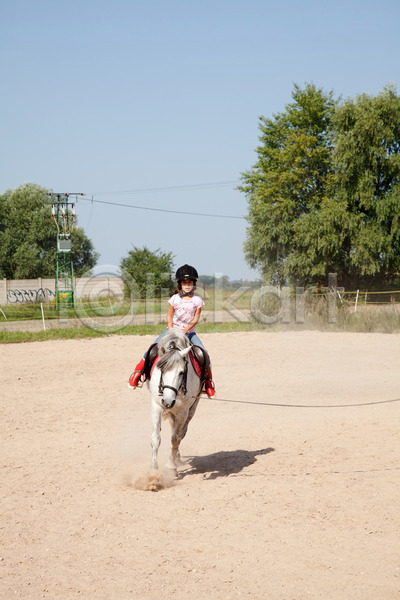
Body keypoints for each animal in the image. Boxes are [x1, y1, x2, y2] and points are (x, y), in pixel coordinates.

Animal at [147, 328, 203, 474]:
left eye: (181, 372)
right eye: (162, 369)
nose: (167, 401)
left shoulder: (183, 411)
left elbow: (176, 439)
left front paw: (171, 467)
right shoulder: (156, 405)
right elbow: (155, 438)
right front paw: (153, 471)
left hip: (191, 409)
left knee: (181, 432)